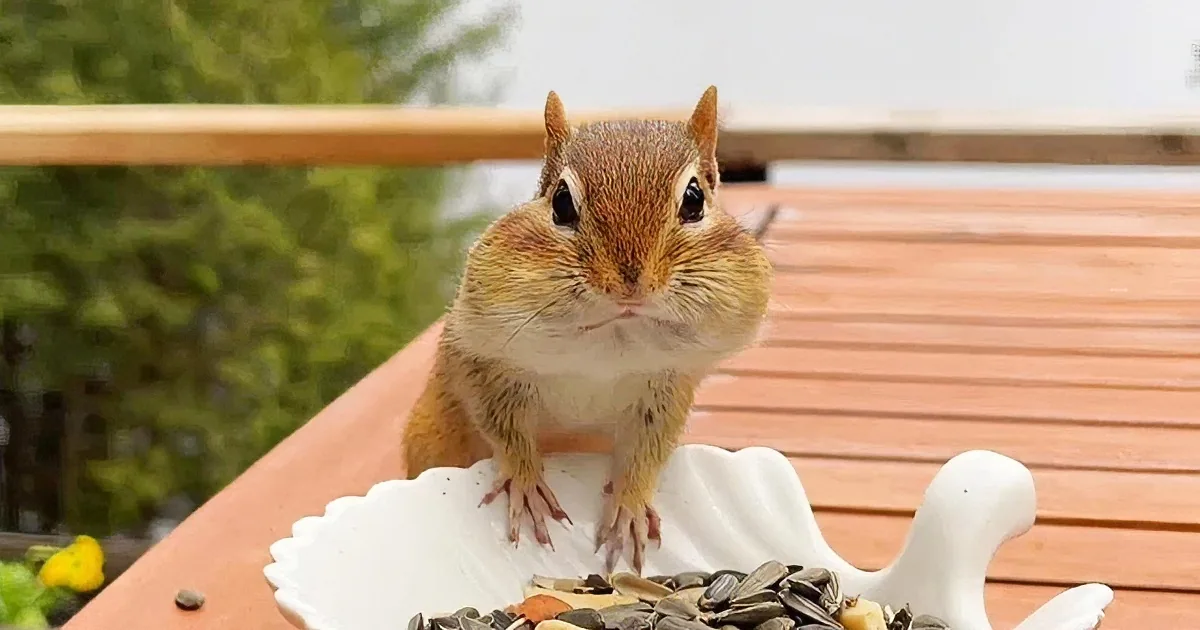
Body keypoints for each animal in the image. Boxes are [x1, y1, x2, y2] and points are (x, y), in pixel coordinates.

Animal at [400, 86, 774, 574]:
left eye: (694, 199)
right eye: (561, 202)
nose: (630, 282)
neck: (605, 348)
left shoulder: (669, 390)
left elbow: (649, 452)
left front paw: (630, 505)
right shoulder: (482, 359)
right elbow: (502, 426)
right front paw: (526, 481)